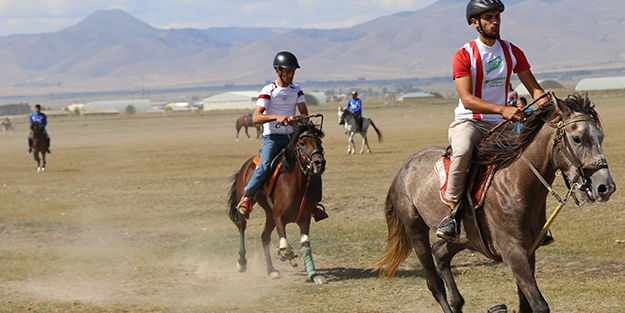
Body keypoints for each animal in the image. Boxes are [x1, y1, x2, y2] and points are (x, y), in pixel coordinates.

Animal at [228, 116, 326, 282]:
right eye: (302, 143)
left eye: (319, 142)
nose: (319, 163)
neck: (297, 185)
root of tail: (245, 166)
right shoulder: (279, 216)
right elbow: (285, 246)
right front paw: (286, 255)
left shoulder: (304, 218)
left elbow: (305, 246)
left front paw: (314, 275)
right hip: (249, 205)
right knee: (242, 227)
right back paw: (242, 262)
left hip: (269, 213)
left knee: (264, 237)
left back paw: (271, 270)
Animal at [376, 92, 616, 312]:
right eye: (577, 138)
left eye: (601, 136)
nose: (605, 187)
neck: (516, 184)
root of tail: (404, 168)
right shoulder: (514, 253)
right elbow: (539, 305)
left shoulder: (528, 252)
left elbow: (525, 304)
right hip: (415, 228)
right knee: (434, 283)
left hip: (465, 238)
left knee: (441, 253)